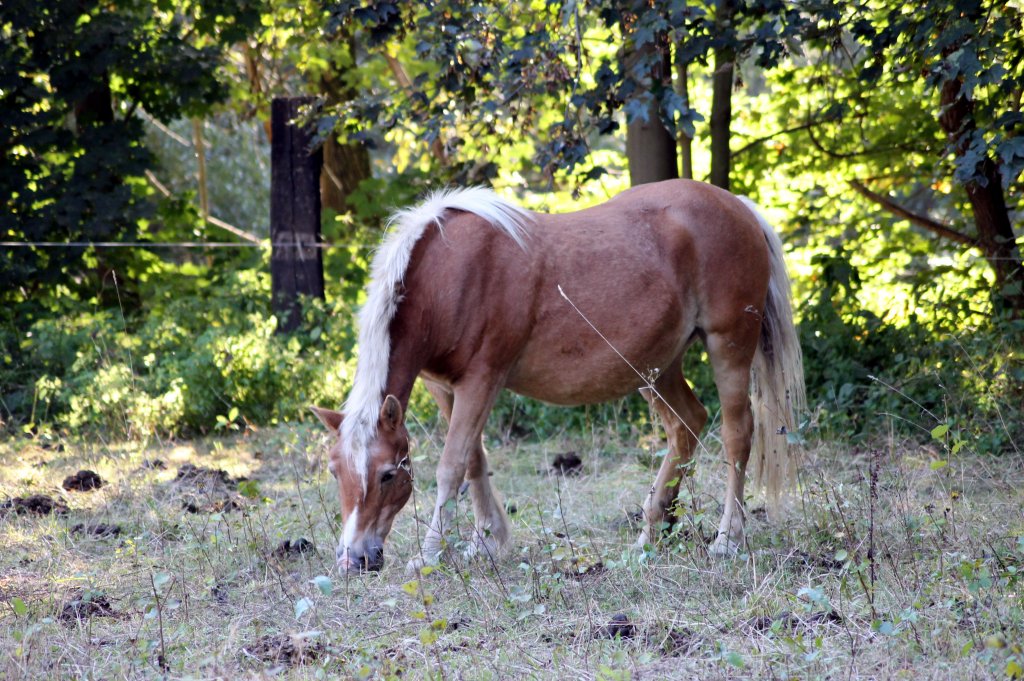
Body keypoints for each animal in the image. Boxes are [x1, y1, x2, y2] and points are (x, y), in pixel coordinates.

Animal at [311, 178, 806, 569]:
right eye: (335, 472)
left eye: (387, 475)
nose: (354, 559)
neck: (447, 277)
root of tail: (739, 206)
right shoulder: (443, 386)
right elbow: (474, 460)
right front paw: (487, 541)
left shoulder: (482, 380)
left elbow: (451, 466)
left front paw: (431, 554)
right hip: (657, 367)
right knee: (686, 426)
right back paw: (648, 535)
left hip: (728, 347)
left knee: (737, 434)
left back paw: (727, 538)